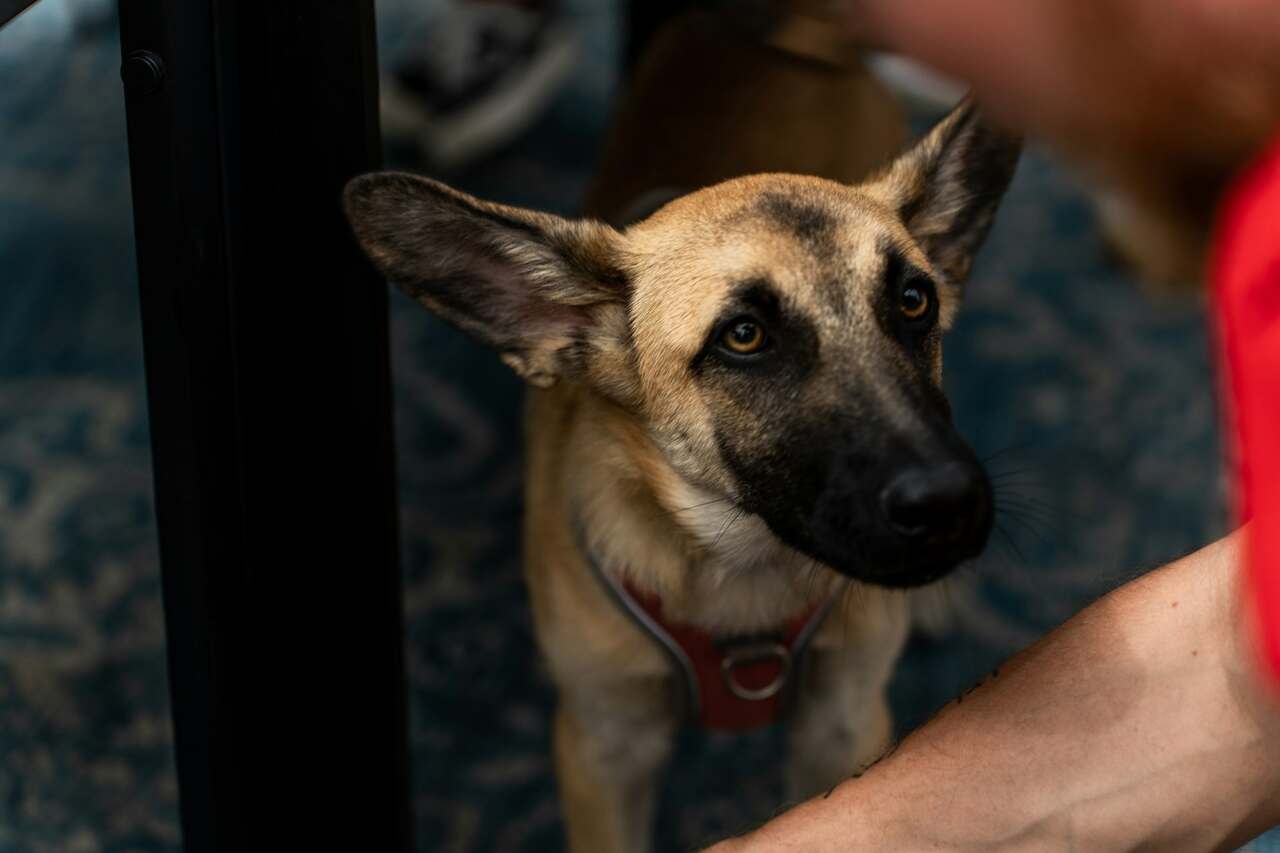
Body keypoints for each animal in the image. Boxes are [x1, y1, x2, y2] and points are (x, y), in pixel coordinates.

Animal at [343, 11, 1018, 845]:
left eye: (914, 300)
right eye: (744, 337)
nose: (950, 502)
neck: (739, 571)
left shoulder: (846, 723)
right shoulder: (604, 749)